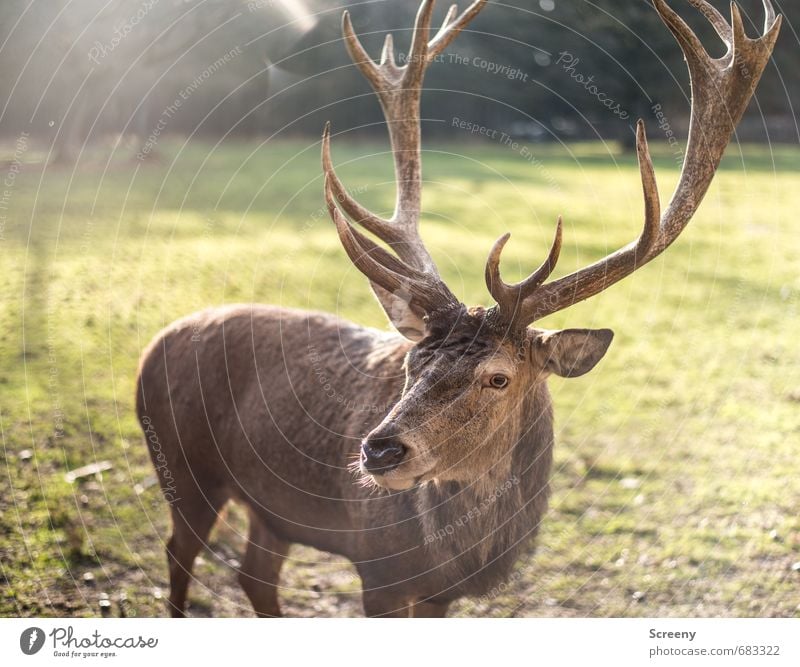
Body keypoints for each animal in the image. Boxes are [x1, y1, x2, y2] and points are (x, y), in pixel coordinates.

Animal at [136, 0, 780, 620]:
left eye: (499, 377)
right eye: (411, 364)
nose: (378, 450)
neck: (461, 558)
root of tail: (156, 341)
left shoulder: (439, 597)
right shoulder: (380, 572)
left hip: (268, 507)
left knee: (255, 577)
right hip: (181, 466)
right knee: (180, 553)